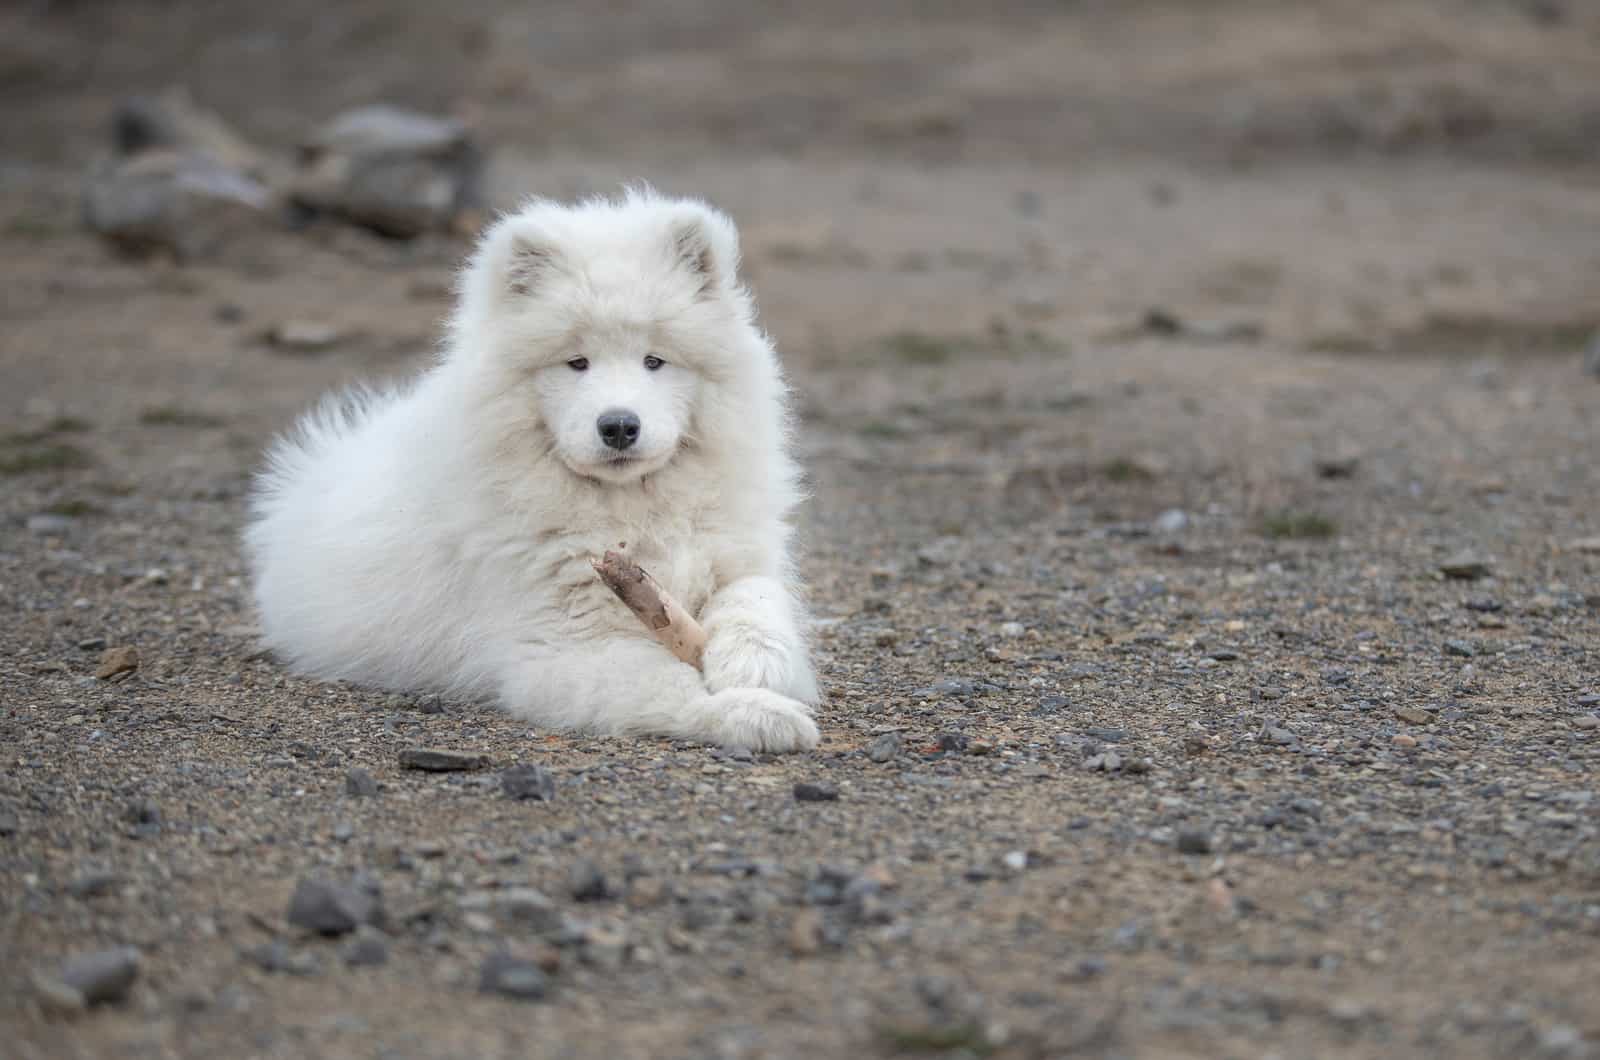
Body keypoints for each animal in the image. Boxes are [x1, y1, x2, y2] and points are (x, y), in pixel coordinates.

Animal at [249, 192, 825, 755]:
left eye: (654, 361)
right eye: (577, 363)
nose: (619, 426)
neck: (630, 510)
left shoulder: (738, 555)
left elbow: (755, 598)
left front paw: (754, 666)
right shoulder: (562, 647)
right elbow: (666, 682)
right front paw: (755, 714)